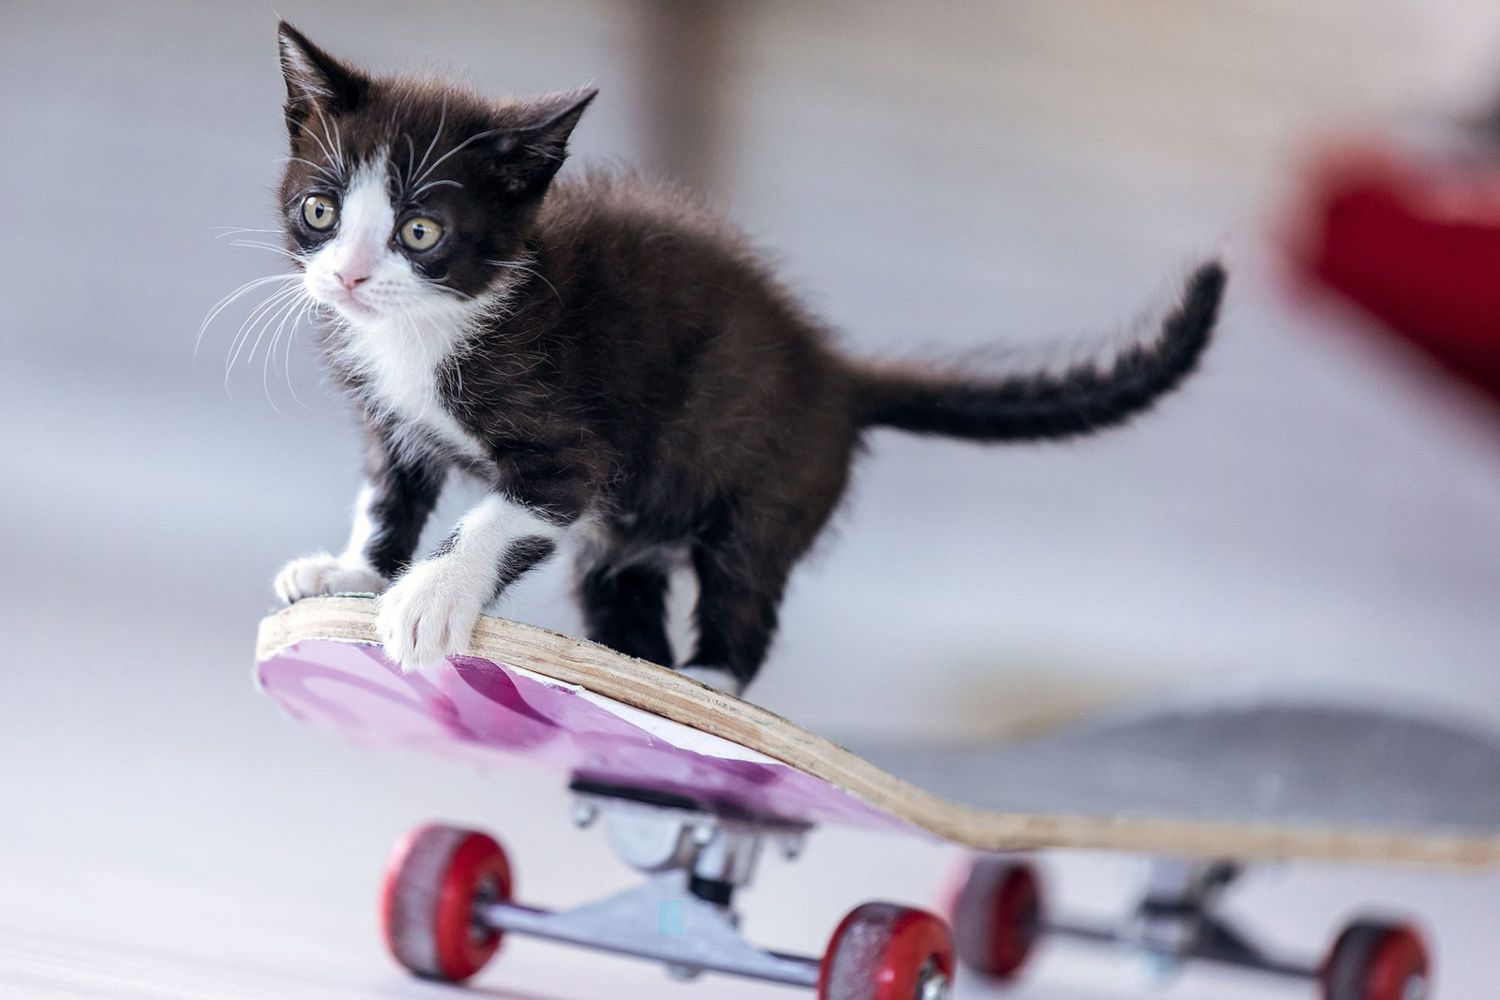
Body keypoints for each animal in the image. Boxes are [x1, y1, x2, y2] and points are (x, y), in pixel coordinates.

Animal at [267, 23, 1230, 695]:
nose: (350, 276)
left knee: (746, 591)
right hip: (632, 534)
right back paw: (624, 673)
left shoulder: (570, 445)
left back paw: (709, 682)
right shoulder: (395, 421)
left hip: (767, 494)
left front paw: (428, 598)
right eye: (320, 212)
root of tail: (839, 373)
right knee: (622, 585)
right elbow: (389, 497)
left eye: (421, 232)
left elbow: (500, 515)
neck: (430, 327)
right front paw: (355, 572)